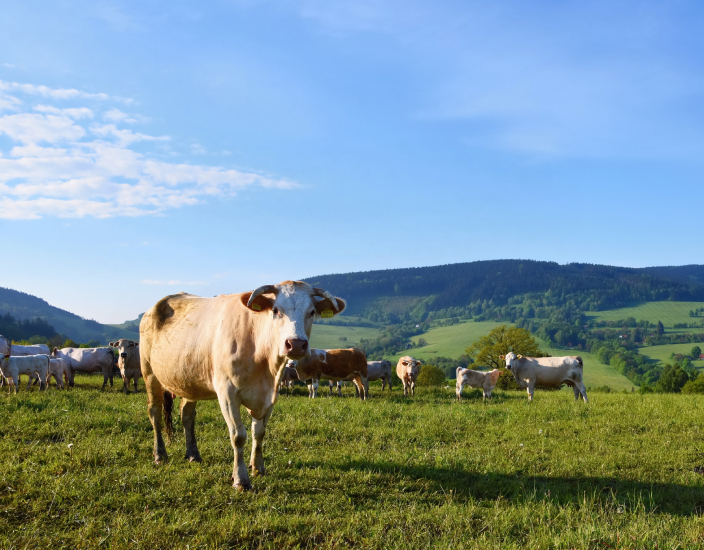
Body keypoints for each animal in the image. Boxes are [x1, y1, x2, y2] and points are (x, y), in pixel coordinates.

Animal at [139, 282, 346, 494]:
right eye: (275, 310)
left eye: (311, 312)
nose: (296, 344)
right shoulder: (227, 394)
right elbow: (238, 435)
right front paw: (241, 479)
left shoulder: (270, 396)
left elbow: (259, 432)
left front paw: (258, 468)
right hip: (149, 373)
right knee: (155, 413)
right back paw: (159, 455)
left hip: (189, 380)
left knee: (187, 415)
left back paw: (193, 454)